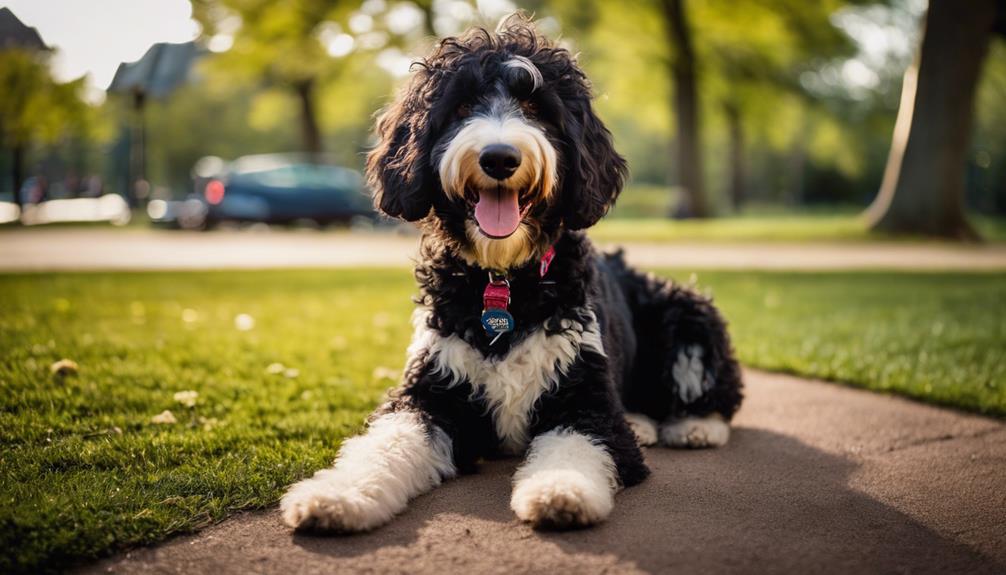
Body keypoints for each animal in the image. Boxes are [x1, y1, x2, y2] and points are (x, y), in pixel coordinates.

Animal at [279, 15, 744, 530]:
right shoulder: (430, 395)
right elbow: (385, 442)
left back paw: (695, 426)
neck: (502, 282)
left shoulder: (584, 401)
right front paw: (337, 494)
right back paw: (644, 423)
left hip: (688, 313)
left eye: (537, 108)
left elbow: (576, 446)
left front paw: (560, 491)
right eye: (461, 106)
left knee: (715, 392)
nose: (499, 157)